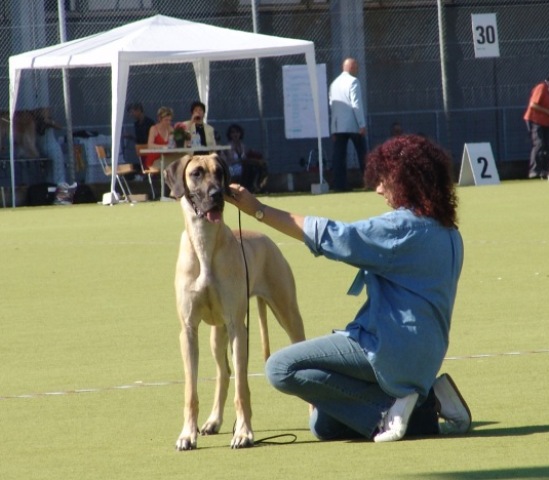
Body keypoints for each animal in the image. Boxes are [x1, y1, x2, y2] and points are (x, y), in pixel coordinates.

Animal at [164, 153, 308, 450]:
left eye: (220, 173)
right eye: (196, 173)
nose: (216, 195)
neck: (204, 243)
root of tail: (264, 236)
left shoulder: (237, 328)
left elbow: (243, 388)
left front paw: (243, 432)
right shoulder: (189, 329)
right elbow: (191, 390)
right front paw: (187, 434)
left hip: (287, 312)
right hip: (215, 334)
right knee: (223, 372)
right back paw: (213, 421)